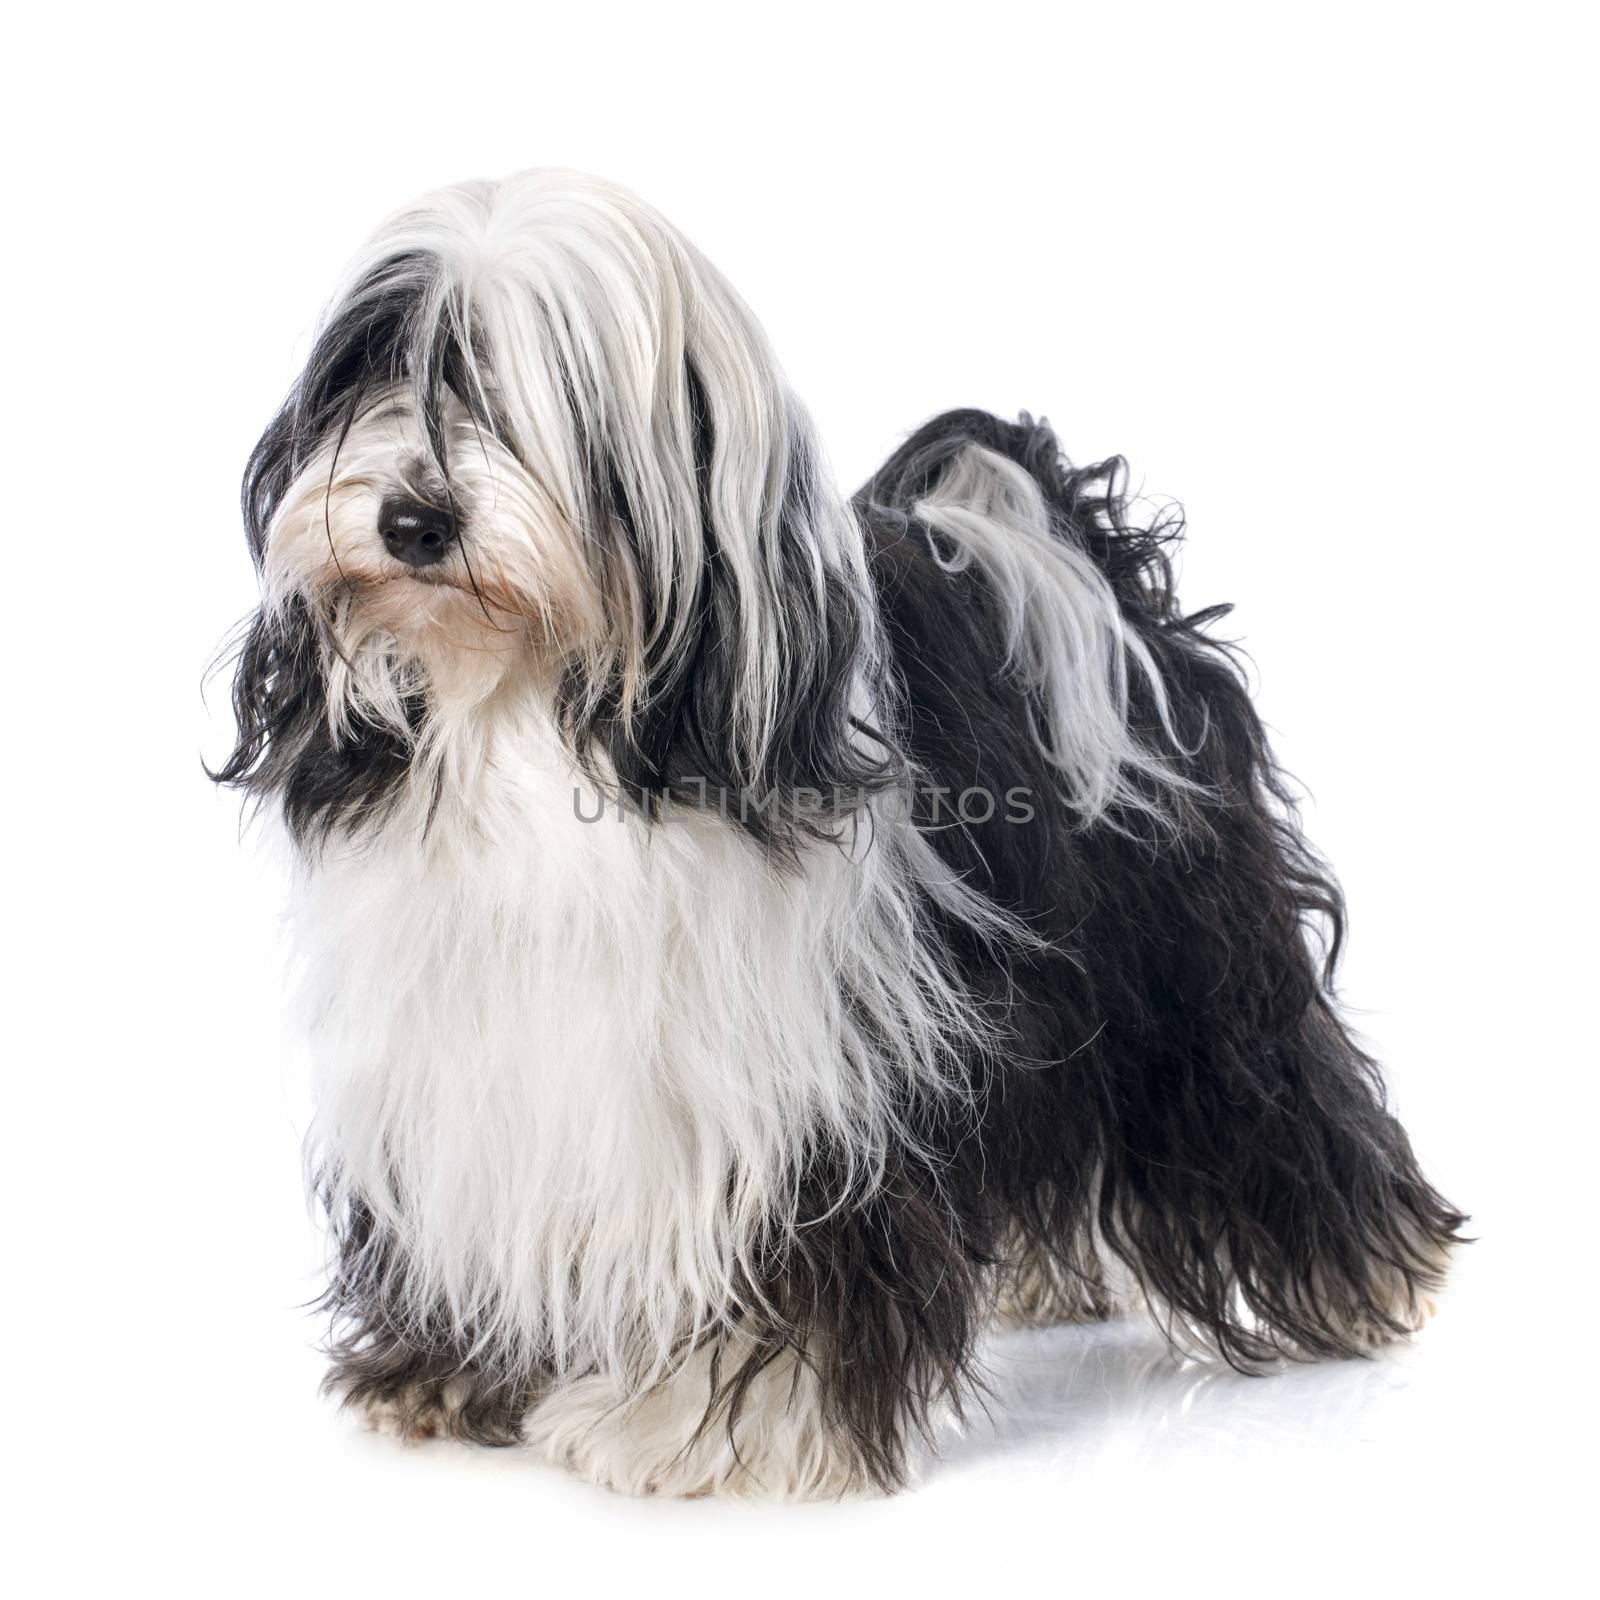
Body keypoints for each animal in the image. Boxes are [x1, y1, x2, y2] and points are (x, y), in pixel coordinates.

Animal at [219, 168, 1465, 1491]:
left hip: (1193, 964)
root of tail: (1056, 555)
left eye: (533, 385)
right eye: (372, 371)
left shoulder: (796, 1060)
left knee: (1264, 1093)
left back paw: (1370, 1276)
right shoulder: (460, 1046)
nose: (412, 519)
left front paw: (698, 1417)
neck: (532, 710)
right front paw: (449, 1369)